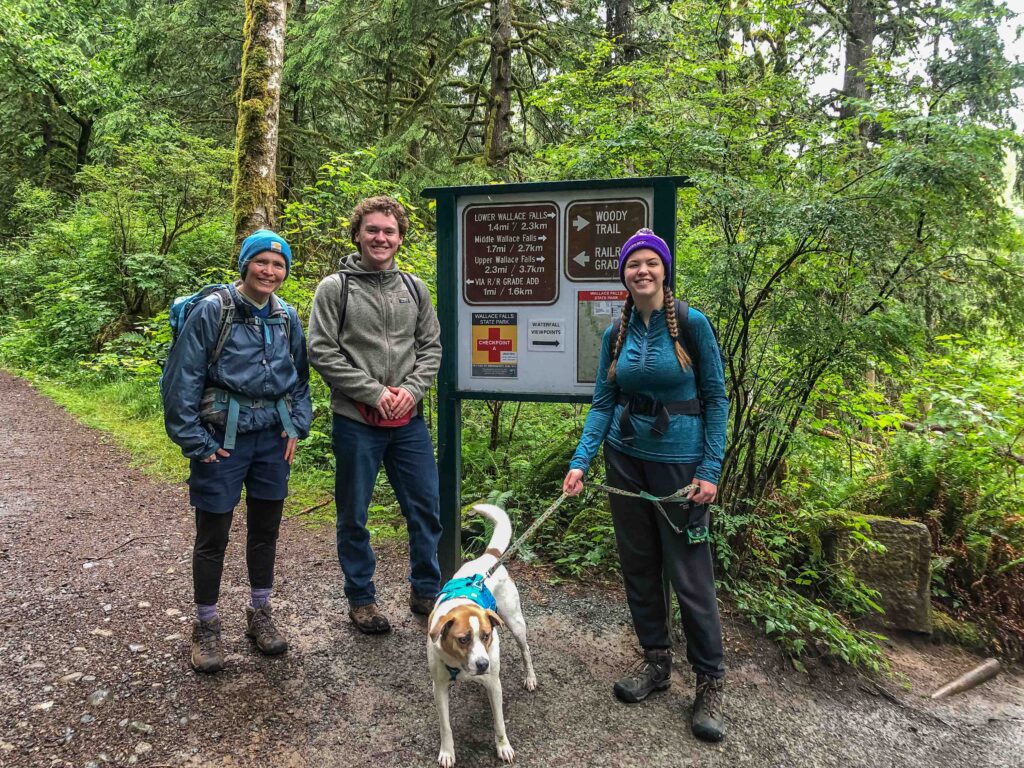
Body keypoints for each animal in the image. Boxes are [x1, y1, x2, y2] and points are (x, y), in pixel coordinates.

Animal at [425, 505, 540, 768]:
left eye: (486, 635)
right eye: (463, 639)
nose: (482, 664)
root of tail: (489, 557)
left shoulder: (494, 684)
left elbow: (499, 722)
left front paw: (503, 747)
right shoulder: (440, 687)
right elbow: (445, 726)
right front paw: (447, 752)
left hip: (515, 623)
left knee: (526, 650)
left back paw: (530, 677)